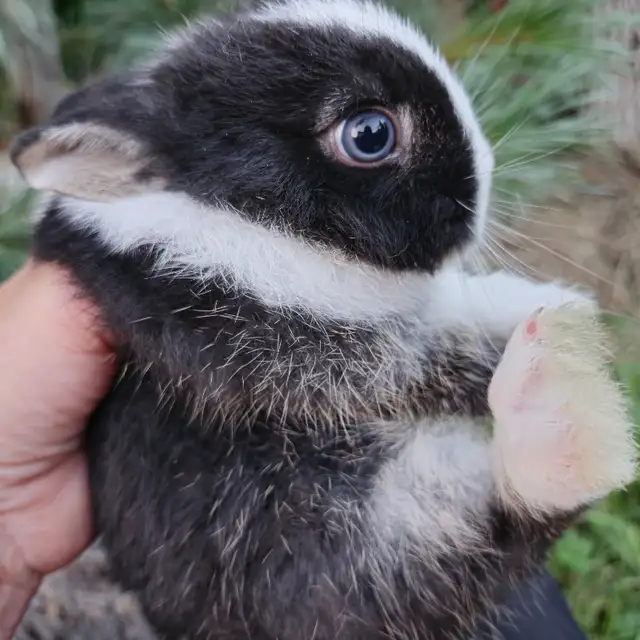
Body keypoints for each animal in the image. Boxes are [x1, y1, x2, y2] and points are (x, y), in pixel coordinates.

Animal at [10, 1, 636, 638]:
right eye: (370, 134)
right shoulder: (286, 338)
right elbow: (443, 343)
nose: (487, 174)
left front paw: (562, 308)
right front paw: (554, 310)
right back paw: (560, 399)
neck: (235, 218)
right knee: (496, 519)